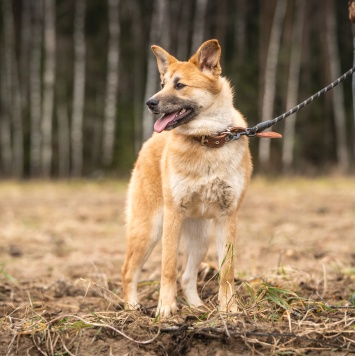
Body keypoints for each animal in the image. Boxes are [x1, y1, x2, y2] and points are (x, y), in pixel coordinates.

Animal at [121, 39, 253, 318]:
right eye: (163, 84)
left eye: (180, 85)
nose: (149, 103)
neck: (207, 140)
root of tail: (150, 142)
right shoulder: (173, 215)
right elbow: (168, 267)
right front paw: (165, 309)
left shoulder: (228, 217)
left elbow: (226, 271)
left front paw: (229, 310)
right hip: (149, 230)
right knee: (128, 272)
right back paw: (132, 309)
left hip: (200, 239)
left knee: (187, 276)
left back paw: (197, 307)